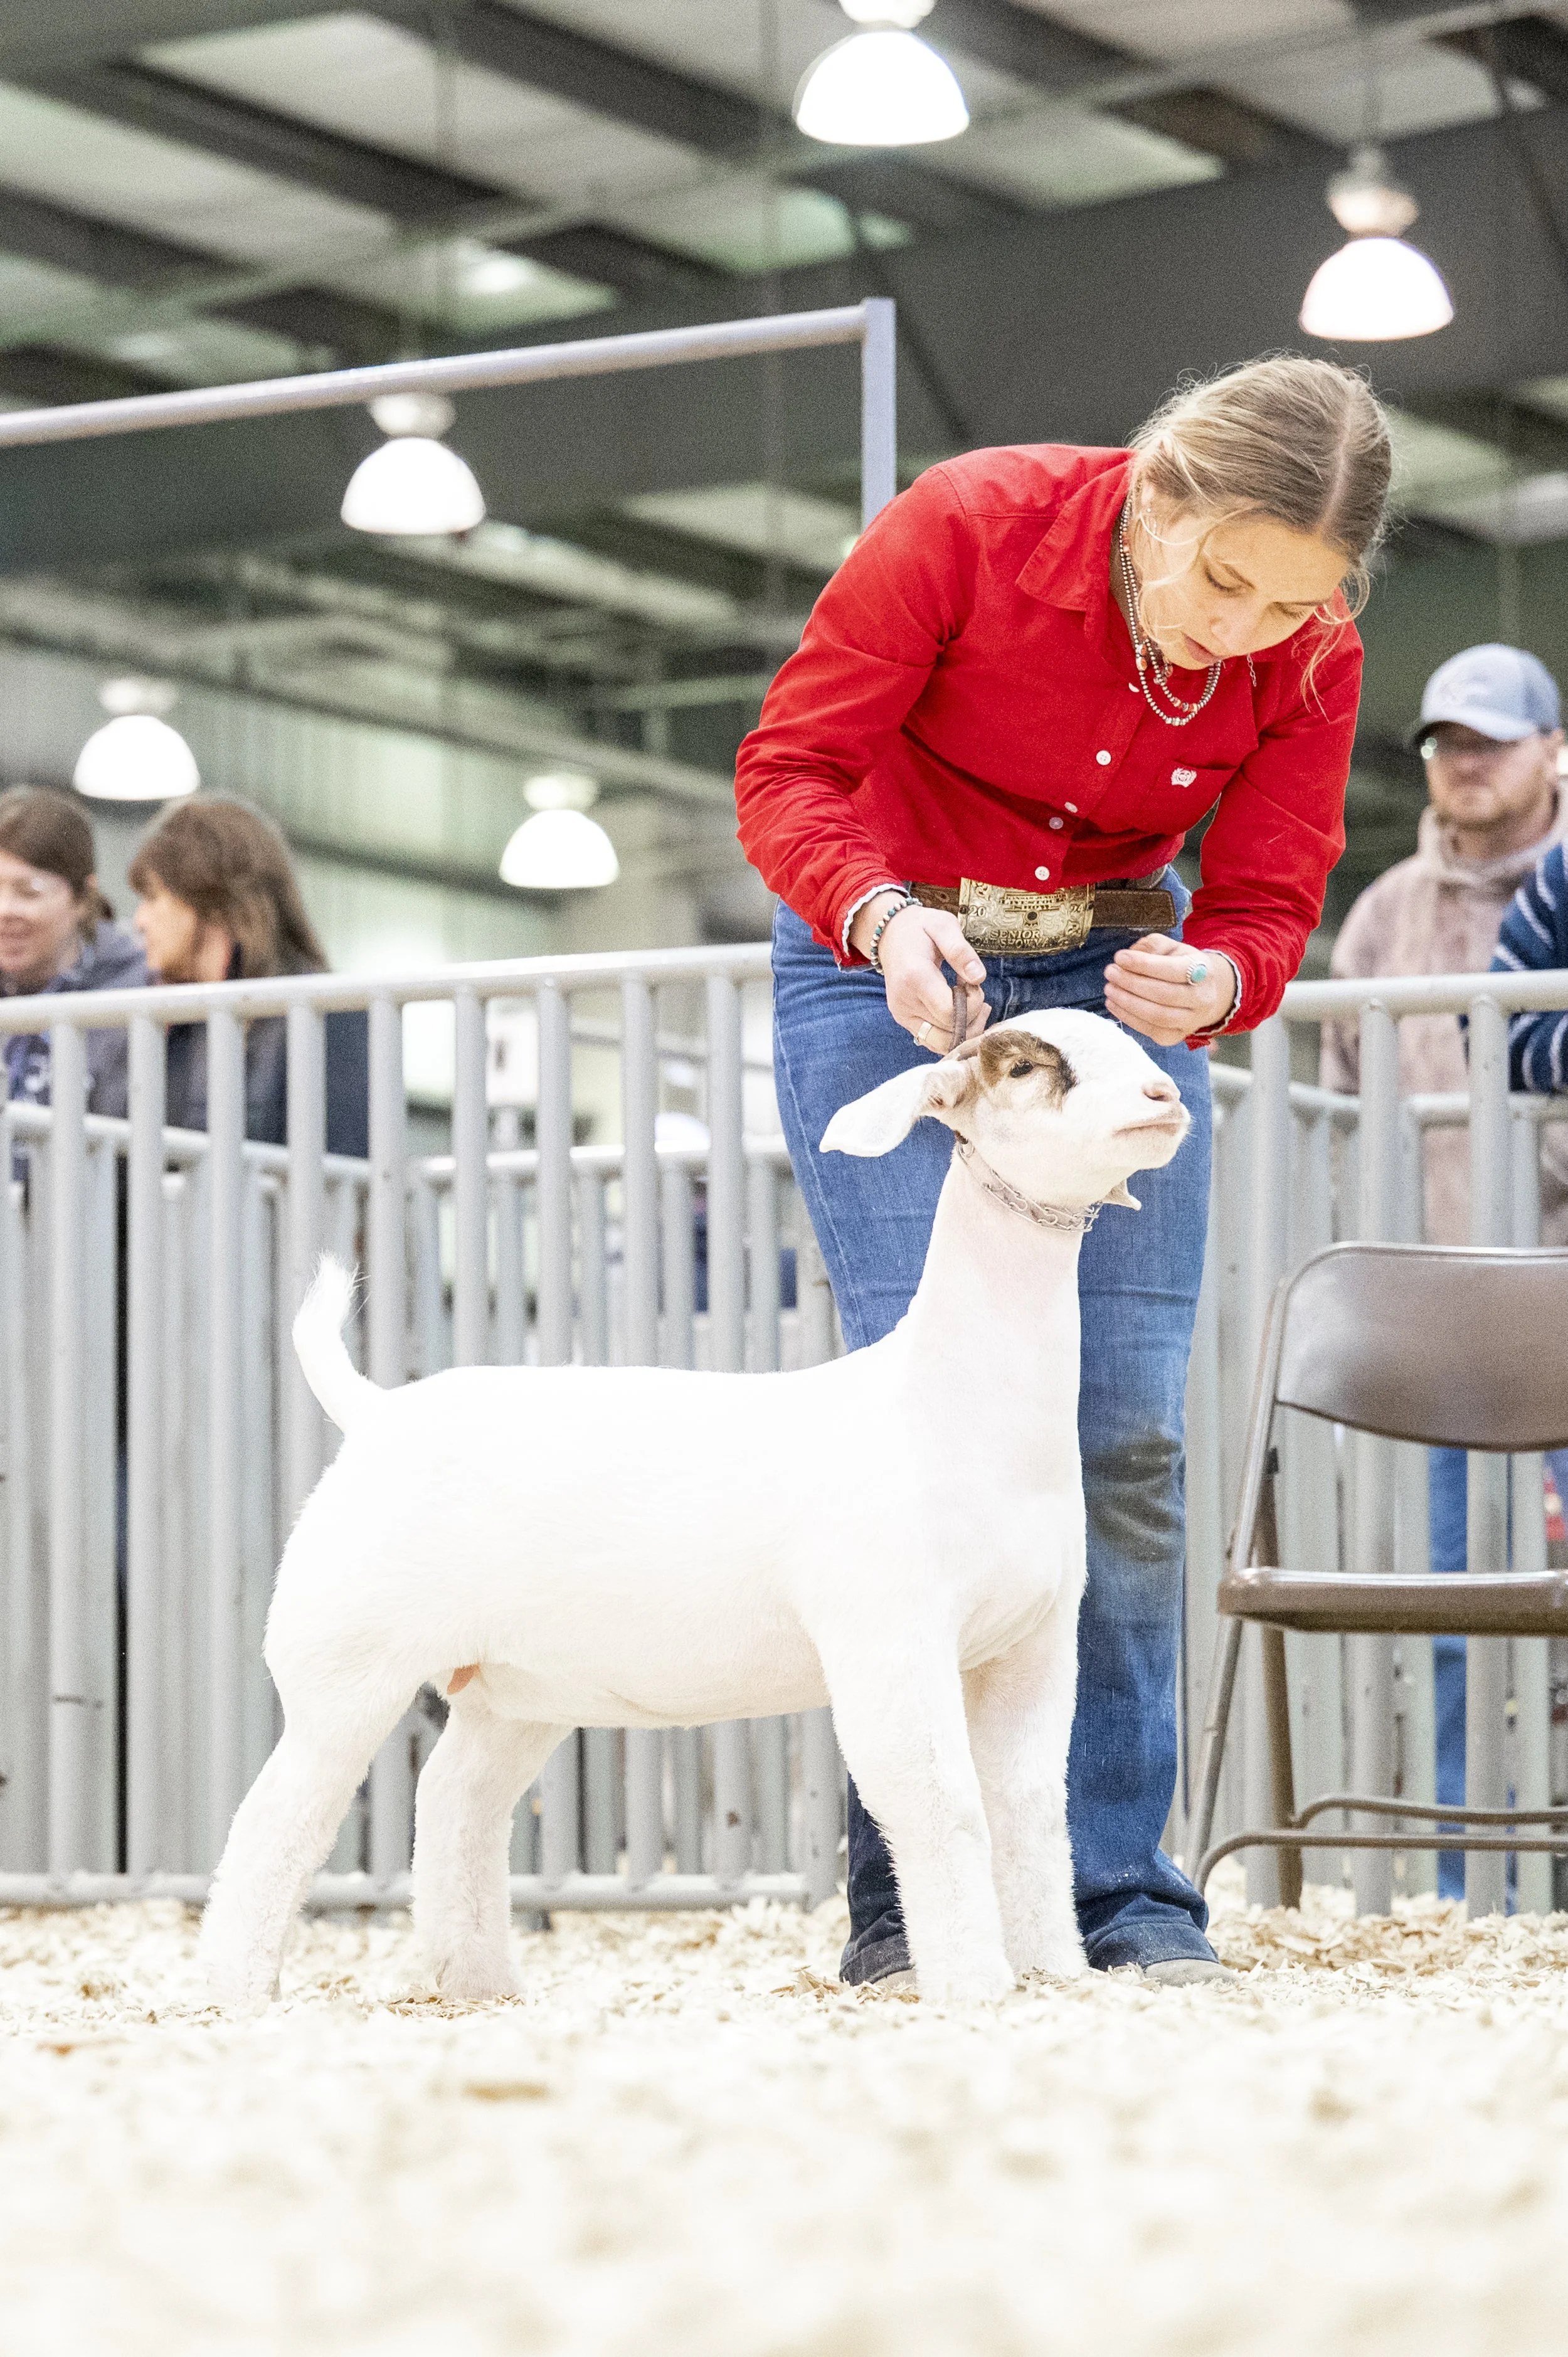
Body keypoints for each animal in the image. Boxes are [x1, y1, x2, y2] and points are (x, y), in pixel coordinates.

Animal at [199, 1008, 1189, 2013]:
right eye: (1026, 1068)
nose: (1166, 1098)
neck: (948, 1403)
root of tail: (374, 1412)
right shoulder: (891, 1640)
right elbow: (944, 1806)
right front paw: (978, 1986)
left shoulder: (1033, 1645)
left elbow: (1031, 1810)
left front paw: (1057, 1972)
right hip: (345, 1663)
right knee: (272, 1820)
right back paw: (233, 1990)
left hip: (516, 1688)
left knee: (453, 1804)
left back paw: (480, 1984)